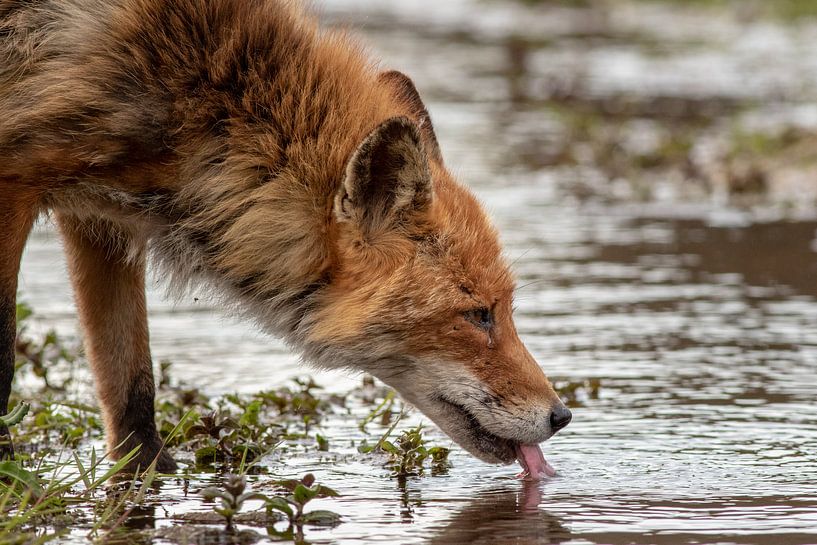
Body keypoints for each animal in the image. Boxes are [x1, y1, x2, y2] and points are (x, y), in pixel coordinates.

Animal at [0, 0, 571, 478]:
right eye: (478, 314)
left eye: (504, 309)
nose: (562, 416)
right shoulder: (17, 186)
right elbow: (8, 354)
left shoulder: (102, 221)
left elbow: (130, 386)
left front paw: (148, 479)